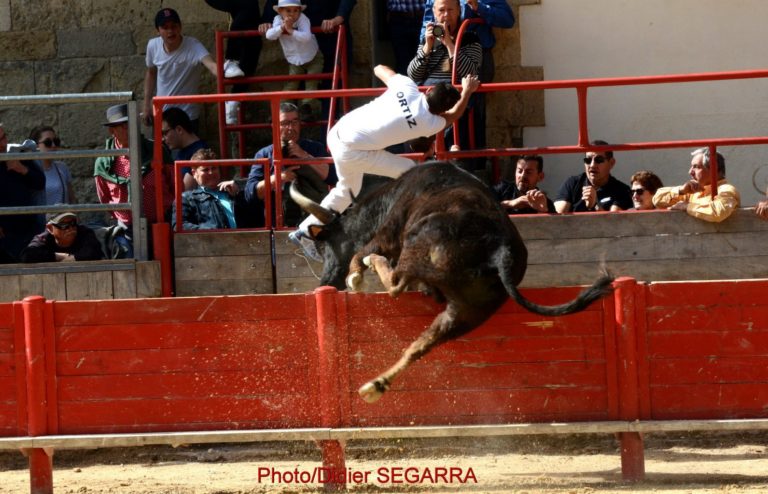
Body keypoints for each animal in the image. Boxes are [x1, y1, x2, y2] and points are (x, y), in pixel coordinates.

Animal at [292, 164, 616, 404]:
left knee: (396, 283)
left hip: (417, 247)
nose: (326, 281)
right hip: (467, 311)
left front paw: (356, 276)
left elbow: (361, 252)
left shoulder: (387, 233)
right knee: (421, 344)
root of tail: (500, 248)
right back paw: (376, 385)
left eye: (324, 245)